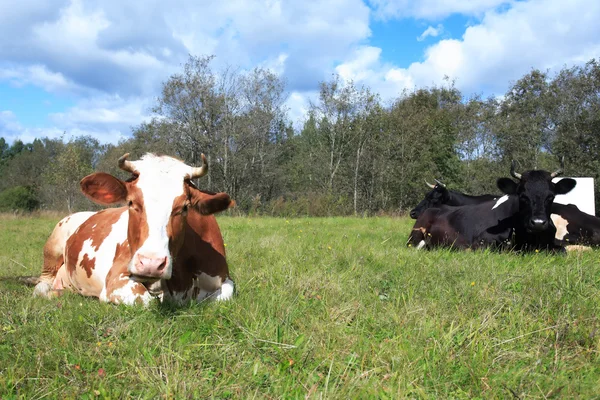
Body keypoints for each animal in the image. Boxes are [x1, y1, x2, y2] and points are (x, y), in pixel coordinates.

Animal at [32, 153, 234, 306]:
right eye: (131, 202)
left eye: (184, 207)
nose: (151, 263)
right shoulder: (116, 279)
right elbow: (146, 300)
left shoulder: (223, 277)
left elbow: (226, 294)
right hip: (54, 244)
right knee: (42, 282)